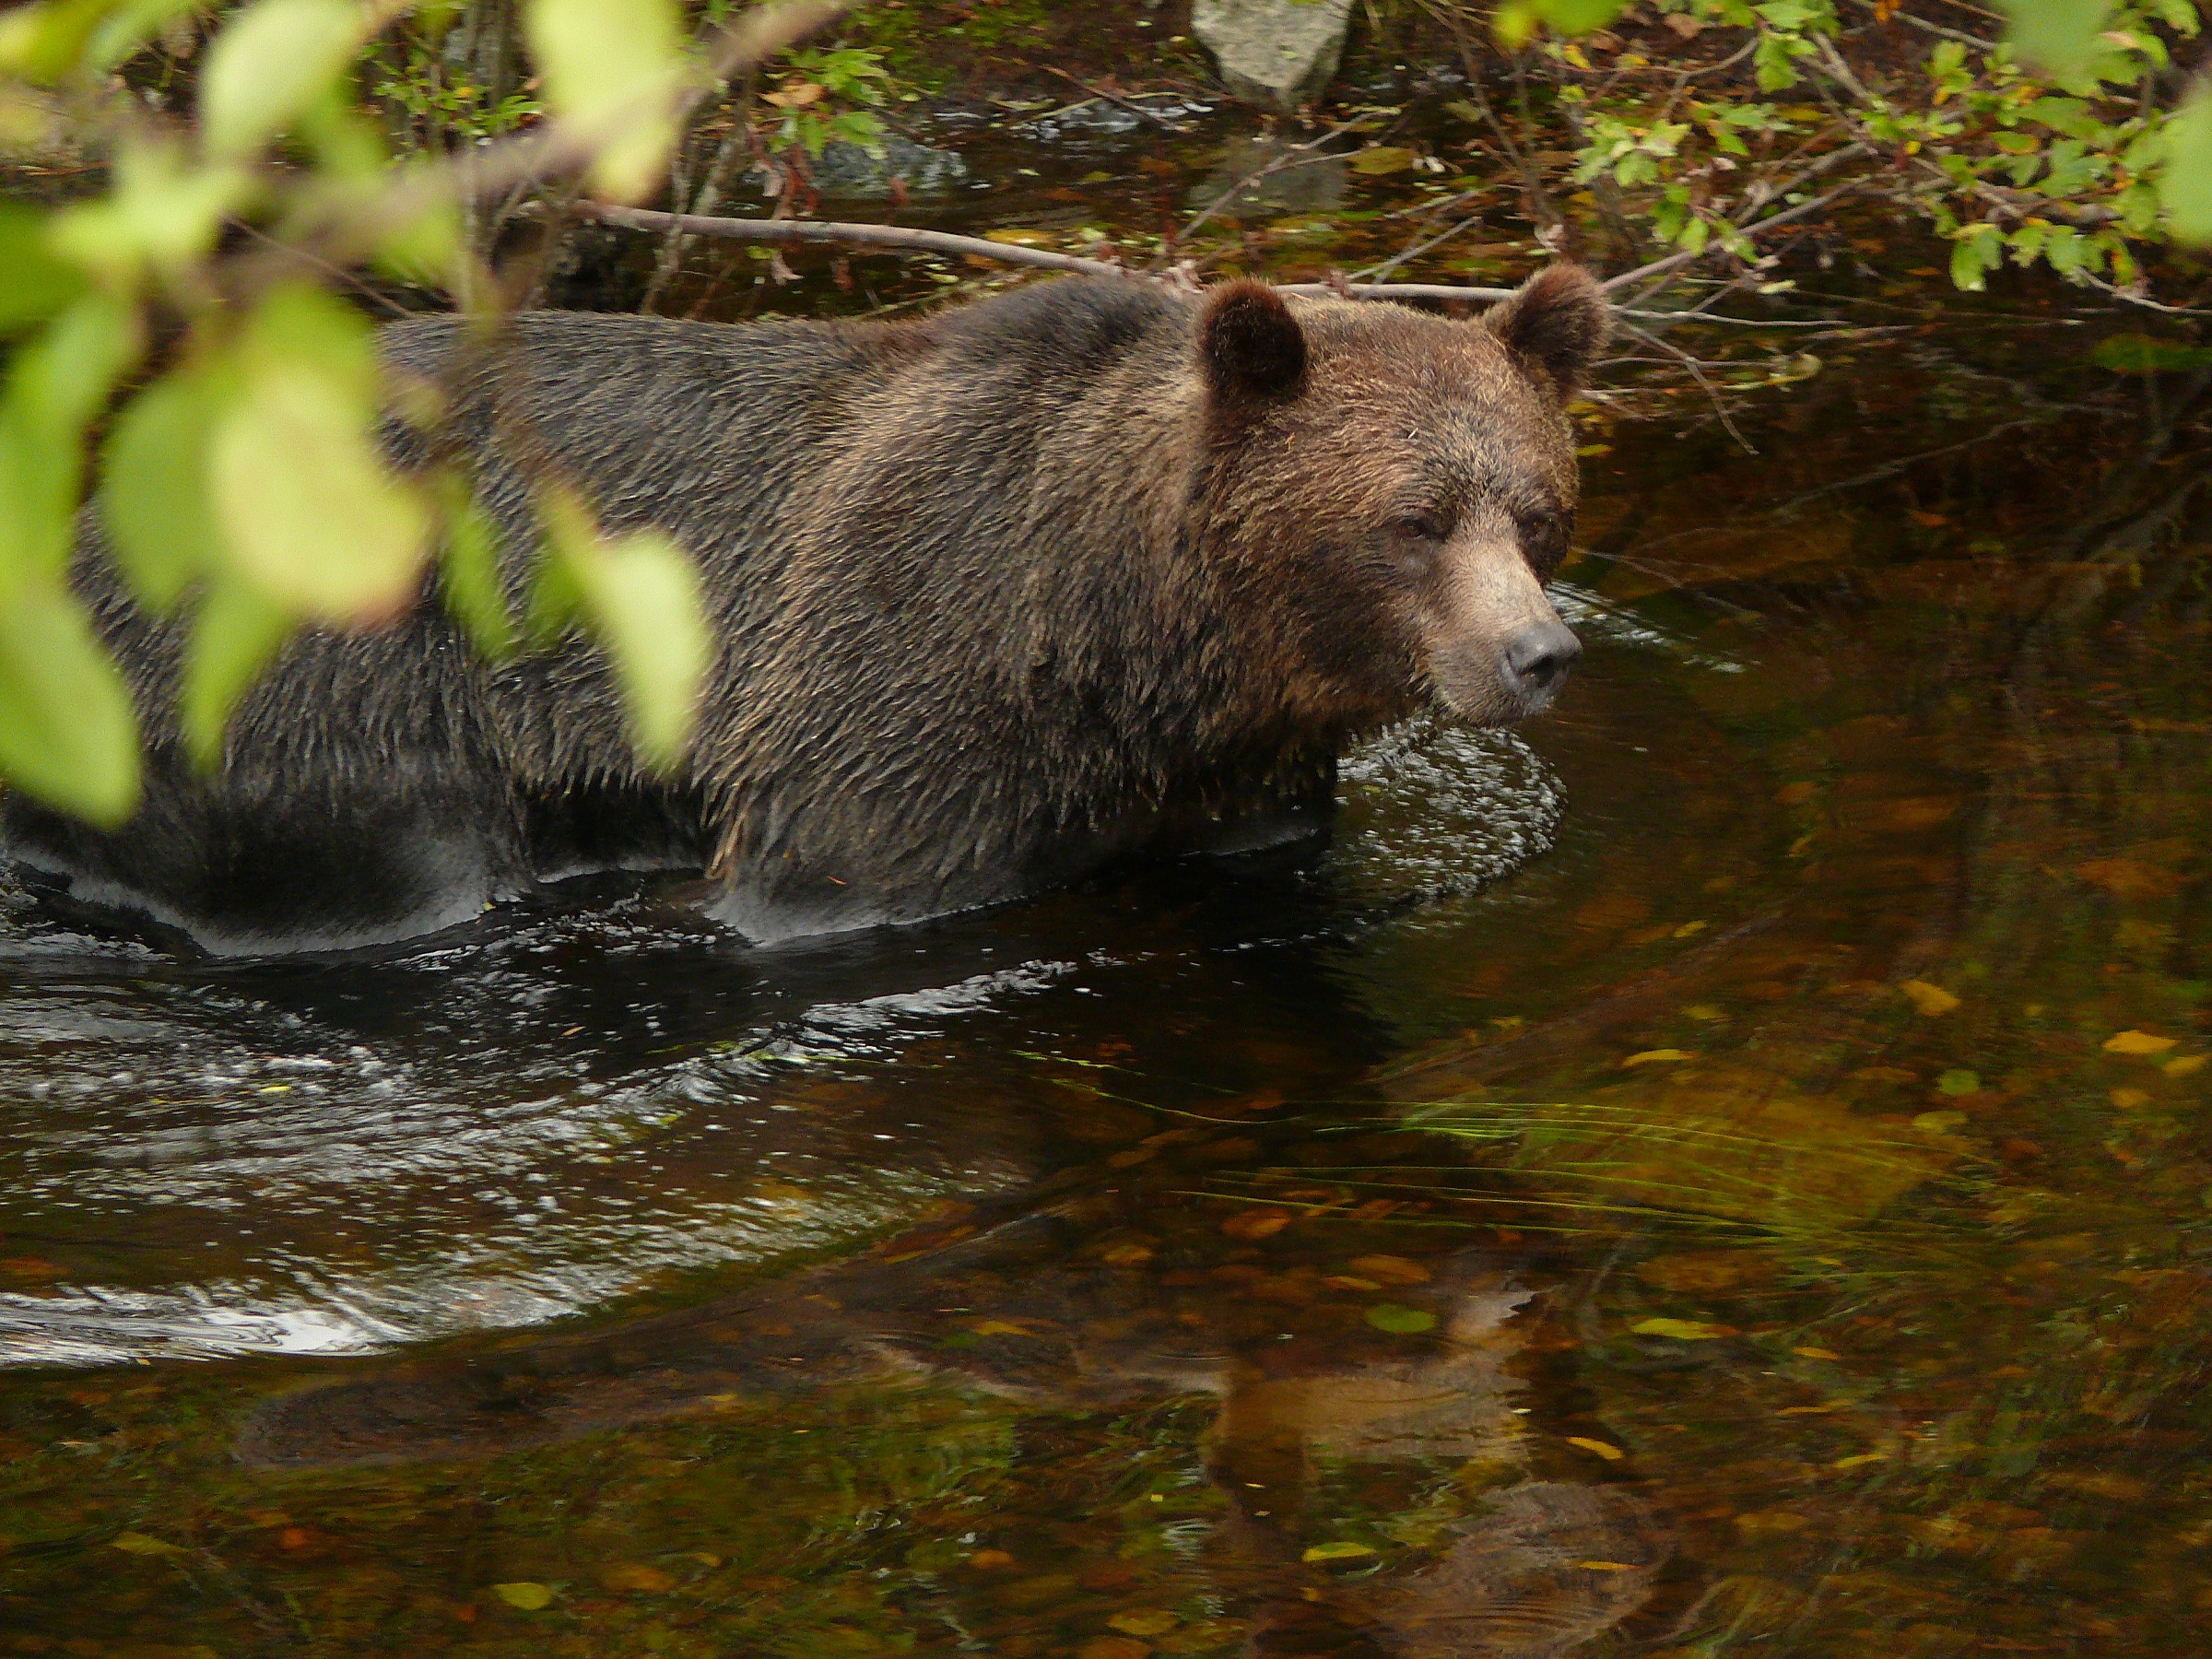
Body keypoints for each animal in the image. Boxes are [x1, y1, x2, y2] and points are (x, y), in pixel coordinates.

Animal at [3, 266, 1607, 953]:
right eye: (1413, 518)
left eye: (1536, 509)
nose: (1537, 653)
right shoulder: (902, 690)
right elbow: (832, 865)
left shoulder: (1235, 781)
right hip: (325, 688)